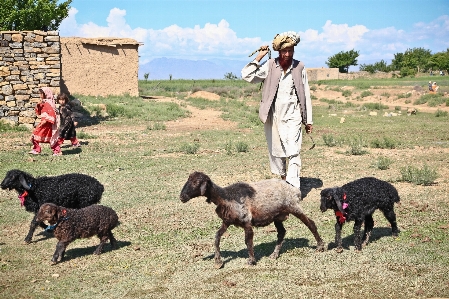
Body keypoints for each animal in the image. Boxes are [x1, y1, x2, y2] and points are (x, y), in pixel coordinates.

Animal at [179, 172, 326, 268]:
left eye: (195, 182)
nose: (181, 197)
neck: (224, 196)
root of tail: (294, 189)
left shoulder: (247, 222)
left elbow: (248, 241)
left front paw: (251, 260)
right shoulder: (227, 221)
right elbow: (217, 237)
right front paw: (218, 262)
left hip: (294, 207)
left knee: (310, 223)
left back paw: (320, 246)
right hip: (277, 216)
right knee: (281, 232)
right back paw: (274, 254)